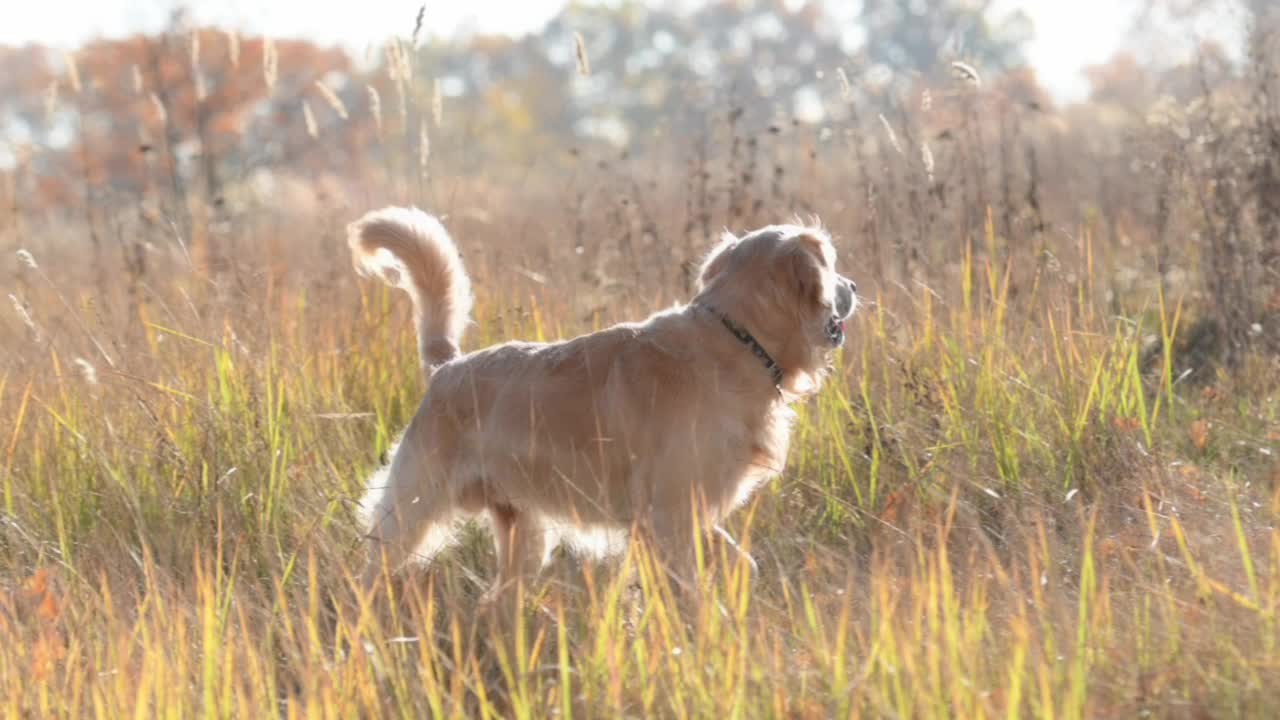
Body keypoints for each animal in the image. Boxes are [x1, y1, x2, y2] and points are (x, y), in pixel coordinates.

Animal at [348, 204, 860, 597]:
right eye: (833, 266)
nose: (854, 287)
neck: (736, 339)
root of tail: (447, 367)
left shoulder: (681, 511)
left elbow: (740, 561)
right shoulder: (667, 515)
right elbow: (690, 590)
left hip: (524, 532)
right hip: (412, 511)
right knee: (372, 573)